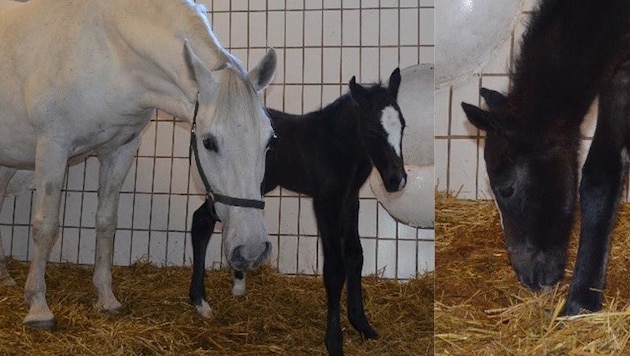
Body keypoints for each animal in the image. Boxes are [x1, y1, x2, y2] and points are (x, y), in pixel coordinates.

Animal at [0, 0, 276, 328]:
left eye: (269, 140)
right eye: (209, 142)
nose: (252, 250)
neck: (108, 48)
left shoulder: (121, 149)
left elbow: (106, 223)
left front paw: (106, 298)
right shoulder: (53, 147)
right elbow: (46, 227)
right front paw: (38, 307)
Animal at [189, 68, 404, 354]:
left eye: (403, 125)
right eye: (372, 130)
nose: (397, 180)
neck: (337, 143)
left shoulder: (349, 199)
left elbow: (354, 256)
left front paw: (362, 325)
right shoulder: (325, 201)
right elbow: (334, 269)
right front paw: (334, 341)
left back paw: (237, 283)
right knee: (201, 221)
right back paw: (201, 301)